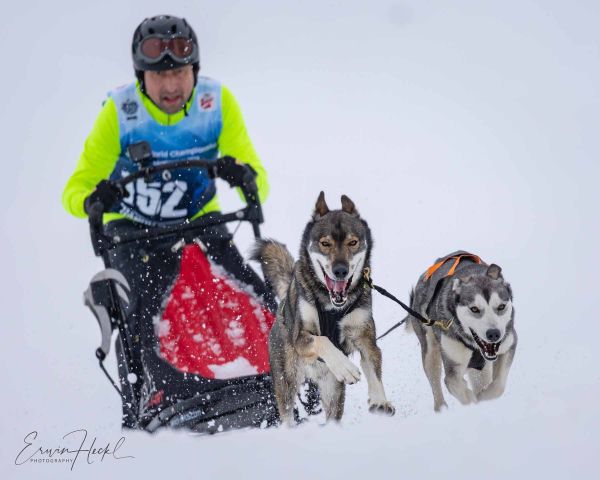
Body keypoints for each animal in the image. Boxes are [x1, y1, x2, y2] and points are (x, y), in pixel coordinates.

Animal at [252, 192, 395, 425]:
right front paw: (344, 366)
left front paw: (379, 400)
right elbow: (323, 340)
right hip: (287, 380)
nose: (340, 270)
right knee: (287, 414)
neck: (332, 307)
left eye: (353, 242)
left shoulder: (365, 338)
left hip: (332, 388)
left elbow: (373, 366)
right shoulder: (301, 337)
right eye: (325, 243)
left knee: (332, 415)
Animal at [408, 251, 517, 411]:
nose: (494, 334)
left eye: (501, 306)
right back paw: (442, 410)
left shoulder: (509, 344)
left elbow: (498, 386)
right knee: (435, 383)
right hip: (430, 350)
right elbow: (455, 385)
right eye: (474, 309)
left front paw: (484, 398)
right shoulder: (452, 366)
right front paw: (473, 402)